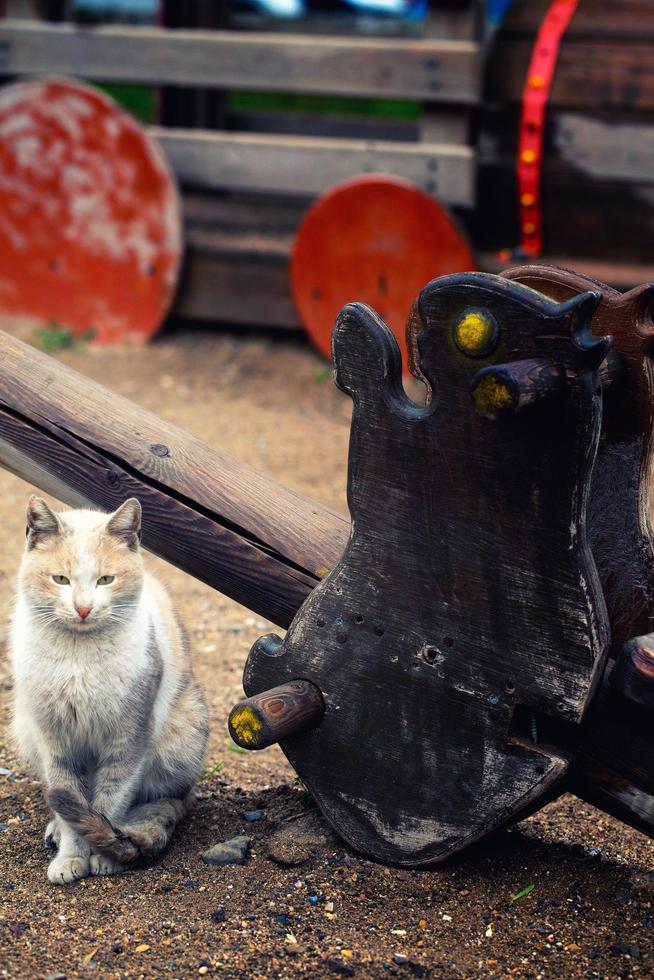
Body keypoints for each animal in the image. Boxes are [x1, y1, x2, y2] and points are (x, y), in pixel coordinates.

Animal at [9, 494, 209, 884]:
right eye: (60, 579)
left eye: (106, 580)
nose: (84, 608)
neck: (78, 656)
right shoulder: (56, 742)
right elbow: (71, 803)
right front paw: (71, 858)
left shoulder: (129, 737)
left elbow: (110, 800)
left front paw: (105, 854)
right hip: (27, 730)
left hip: (182, 739)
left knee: (164, 800)